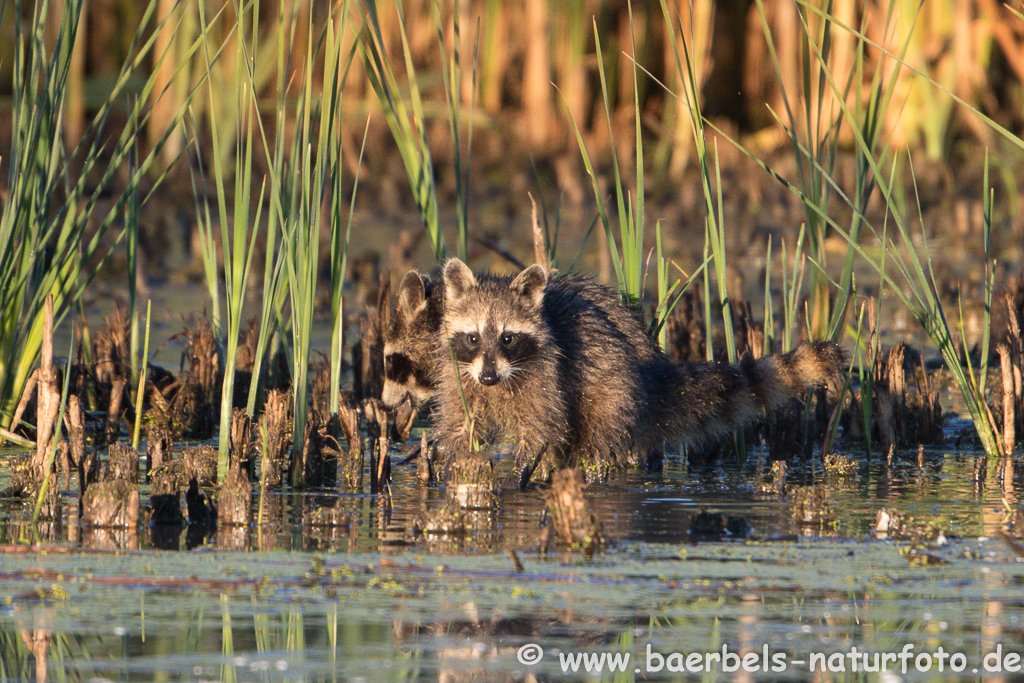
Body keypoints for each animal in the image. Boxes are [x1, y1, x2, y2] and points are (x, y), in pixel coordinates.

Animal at [428, 258, 843, 475]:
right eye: (473, 338)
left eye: (508, 338)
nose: (488, 376)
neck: (500, 379)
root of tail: (649, 370)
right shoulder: (459, 377)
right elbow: (458, 423)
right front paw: (455, 462)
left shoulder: (546, 374)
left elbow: (545, 427)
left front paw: (524, 469)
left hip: (615, 387)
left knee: (599, 427)